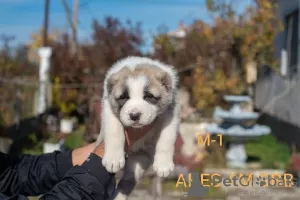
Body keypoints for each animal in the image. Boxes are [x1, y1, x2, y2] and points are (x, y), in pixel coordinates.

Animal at [96, 56, 180, 200]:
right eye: (123, 97)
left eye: (149, 96)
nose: (134, 115)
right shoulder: (108, 108)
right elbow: (114, 132)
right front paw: (113, 159)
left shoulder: (171, 113)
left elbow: (166, 138)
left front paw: (163, 164)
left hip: (139, 160)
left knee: (126, 182)